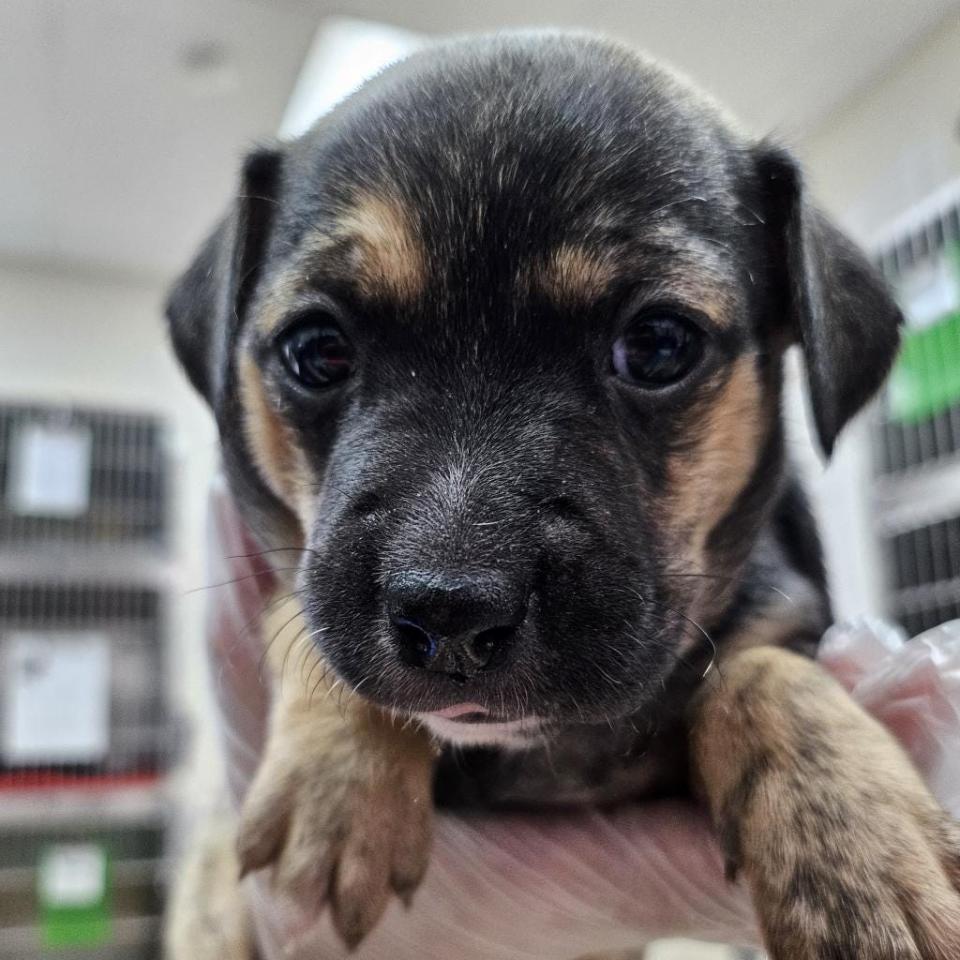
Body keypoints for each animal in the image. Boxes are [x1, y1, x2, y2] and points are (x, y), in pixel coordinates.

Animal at [165, 33, 960, 960]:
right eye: (316, 350)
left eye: (658, 345)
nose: (450, 616)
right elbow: (299, 620)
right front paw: (336, 787)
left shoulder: (783, 617)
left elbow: (766, 671)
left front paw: (862, 851)